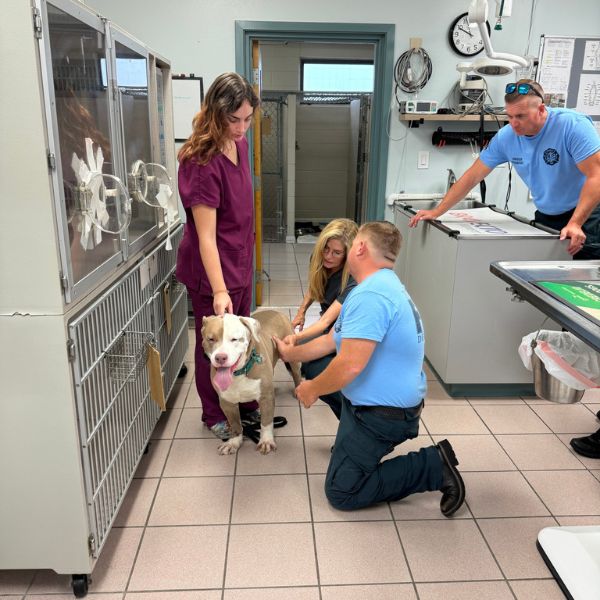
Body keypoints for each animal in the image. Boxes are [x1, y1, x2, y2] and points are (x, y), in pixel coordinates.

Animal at [202, 310, 302, 454]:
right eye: (211, 339)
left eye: (234, 339)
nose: (220, 357)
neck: (238, 373)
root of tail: (277, 311)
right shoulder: (227, 402)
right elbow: (235, 425)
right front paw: (233, 442)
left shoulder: (266, 398)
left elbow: (266, 422)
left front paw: (266, 441)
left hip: (291, 355)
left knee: (296, 373)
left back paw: (299, 389)